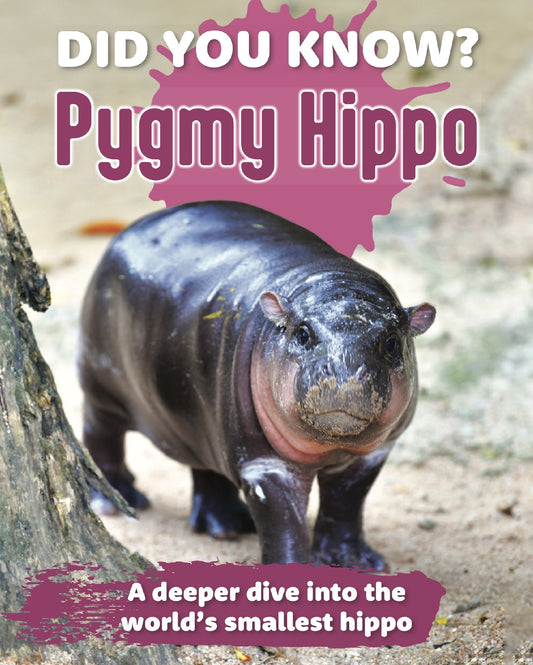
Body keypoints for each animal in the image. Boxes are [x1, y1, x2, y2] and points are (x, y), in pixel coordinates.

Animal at [78, 201, 435, 569]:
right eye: (302, 333)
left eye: (392, 341)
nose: (344, 370)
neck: (332, 284)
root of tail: (132, 228)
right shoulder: (264, 466)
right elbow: (284, 522)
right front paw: (293, 569)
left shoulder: (373, 454)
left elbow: (346, 503)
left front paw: (355, 562)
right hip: (102, 387)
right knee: (100, 435)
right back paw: (117, 500)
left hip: (200, 416)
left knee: (207, 466)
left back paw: (227, 526)